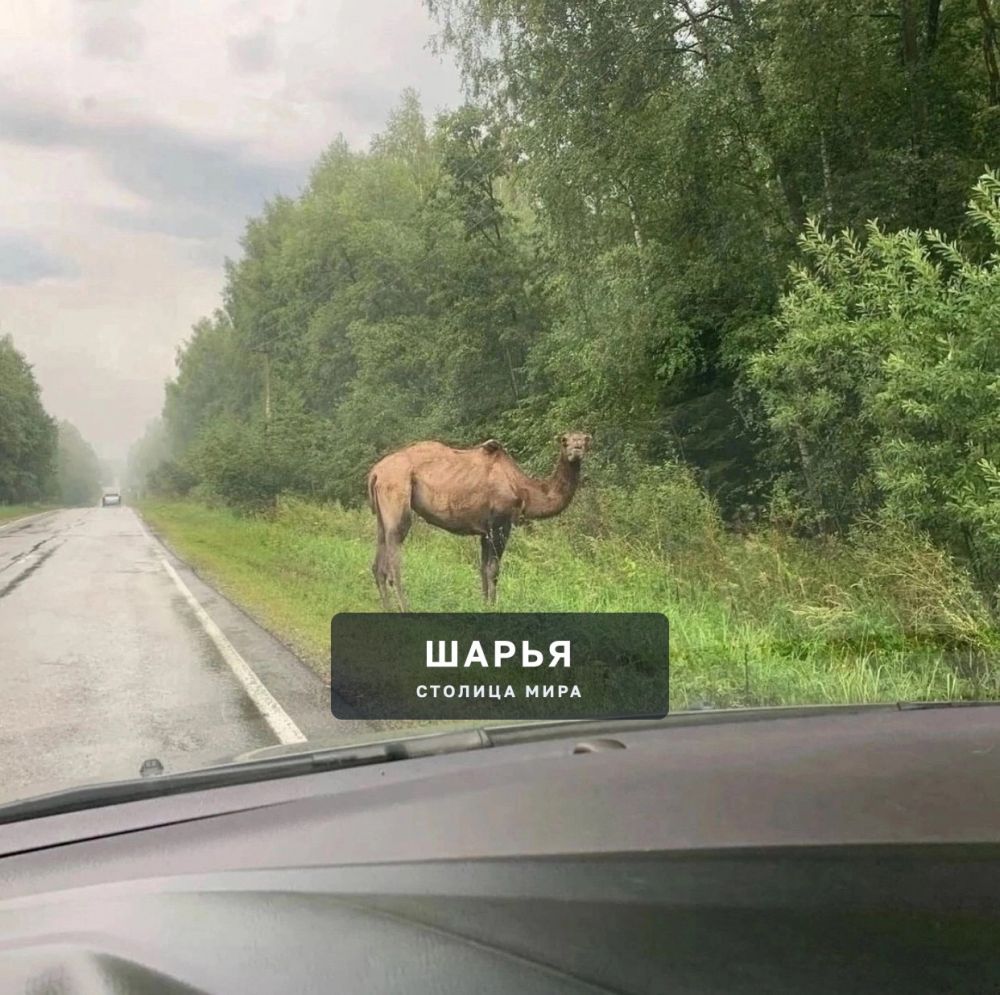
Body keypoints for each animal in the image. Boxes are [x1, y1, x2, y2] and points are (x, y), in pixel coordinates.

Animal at [367, 432, 592, 609]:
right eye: (565, 441)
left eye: (584, 440)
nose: (576, 449)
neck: (523, 489)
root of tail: (375, 473)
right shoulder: (500, 524)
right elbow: (493, 570)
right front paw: (493, 606)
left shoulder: (485, 531)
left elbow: (483, 569)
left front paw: (484, 604)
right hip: (397, 494)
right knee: (394, 559)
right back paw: (405, 607)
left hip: (382, 515)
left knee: (378, 563)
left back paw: (387, 608)